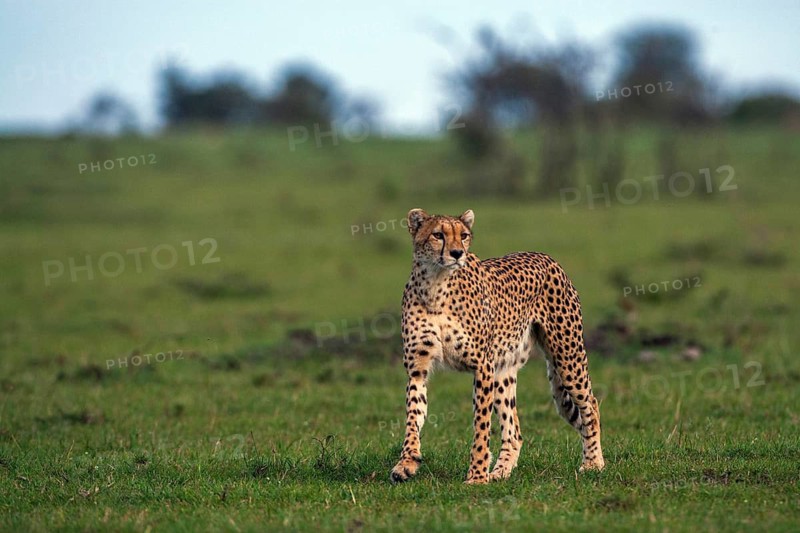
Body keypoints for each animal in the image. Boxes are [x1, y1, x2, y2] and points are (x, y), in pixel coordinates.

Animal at [390, 208, 605, 484]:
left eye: (464, 235)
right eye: (438, 235)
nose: (457, 253)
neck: (436, 284)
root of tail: (545, 256)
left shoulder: (482, 366)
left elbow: (481, 425)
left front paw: (477, 476)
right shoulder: (418, 368)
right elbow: (413, 418)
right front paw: (406, 463)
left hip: (568, 357)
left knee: (591, 404)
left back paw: (593, 463)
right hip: (504, 370)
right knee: (514, 432)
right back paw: (501, 471)